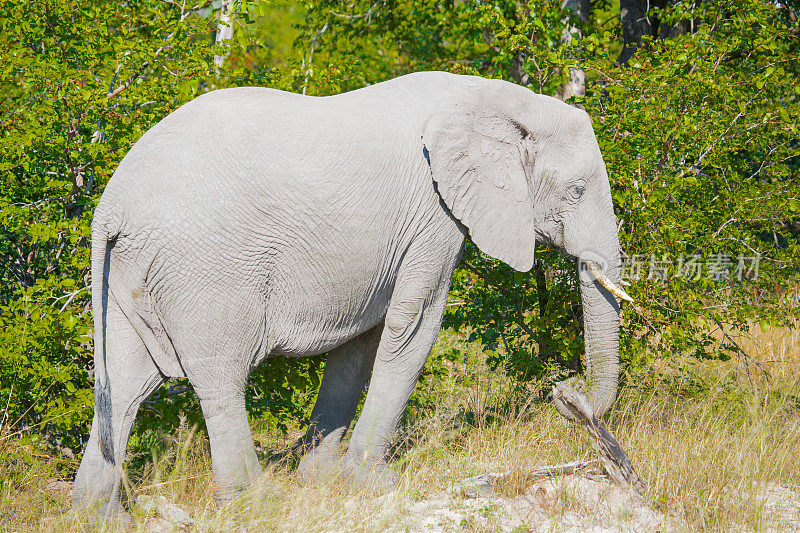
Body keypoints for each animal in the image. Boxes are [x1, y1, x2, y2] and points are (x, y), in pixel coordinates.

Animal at [72, 70, 632, 520]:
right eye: (578, 191)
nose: (565, 396)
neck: (498, 99)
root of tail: (111, 206)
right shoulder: (433, 216)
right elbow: (414, 325)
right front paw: (371, 484)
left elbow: (361, 340)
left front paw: (320, 481)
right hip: (206, 269)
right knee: (219, 377)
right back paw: (257, 504)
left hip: (129, 276)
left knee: (125, 388)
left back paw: (99, 518)